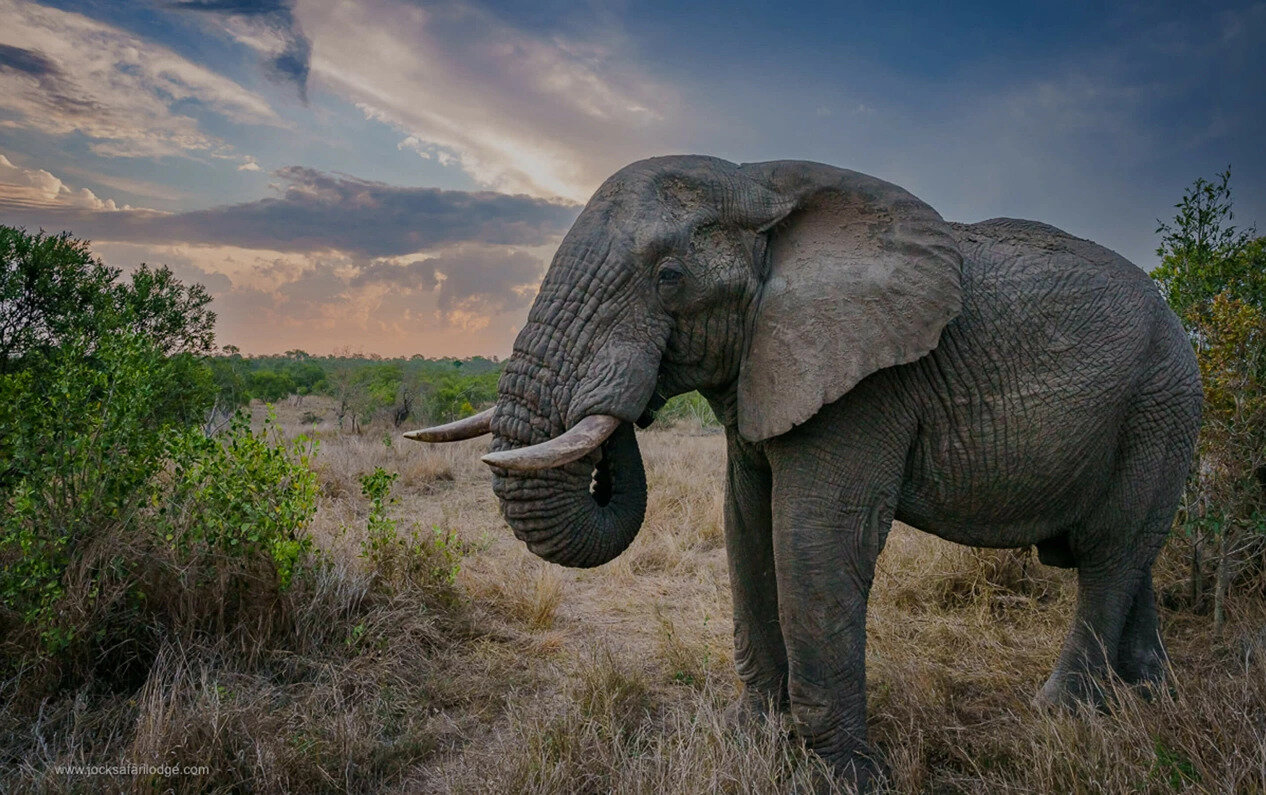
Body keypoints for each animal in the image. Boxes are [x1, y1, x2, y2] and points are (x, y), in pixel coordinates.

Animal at [406, 155, 1203, 786]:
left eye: (669, 278)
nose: (623, 402)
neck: (760, 184)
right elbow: (746, 529)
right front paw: (754, 736)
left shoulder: (870, 383)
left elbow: (814, 542)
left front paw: (849, 778)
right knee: (1132, 554)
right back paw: (1149, 696)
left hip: (1160, 401)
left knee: (1109, 552)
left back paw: (1062, 715)